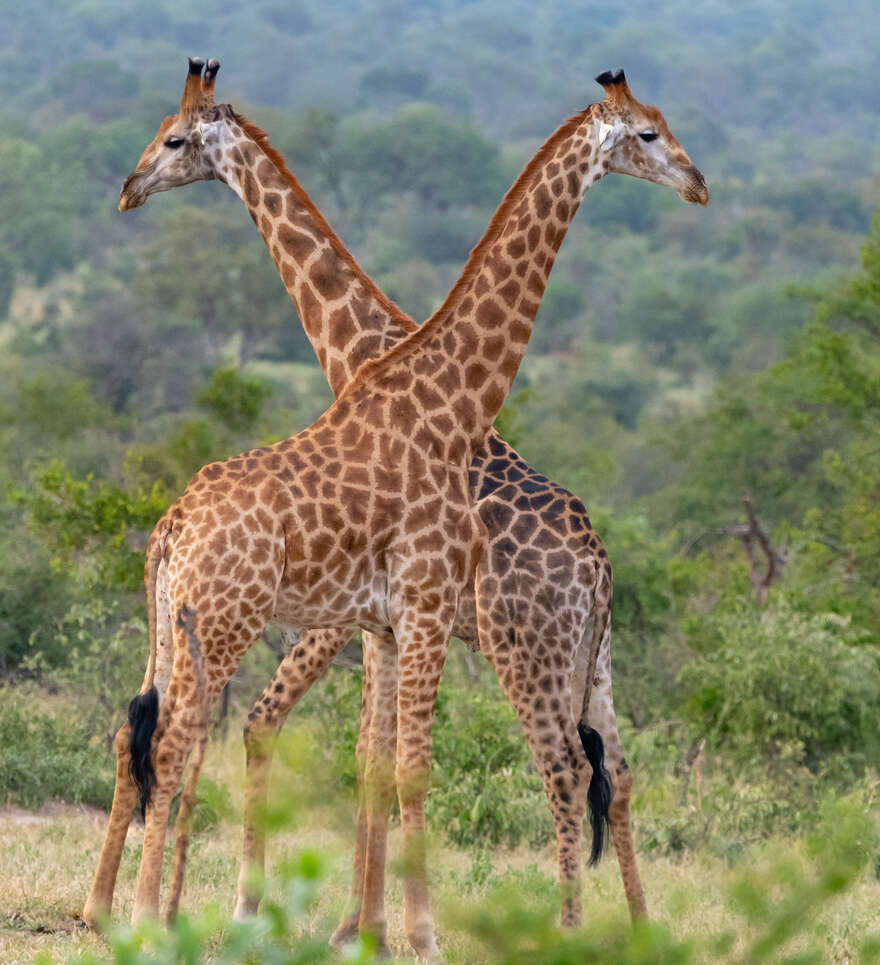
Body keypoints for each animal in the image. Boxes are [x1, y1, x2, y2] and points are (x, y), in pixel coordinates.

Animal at [87, 60, 708, 956]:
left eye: (172, 139)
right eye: (649, 132)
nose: (129, 189)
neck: (436, 391)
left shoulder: (389, 616)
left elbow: (382, 762)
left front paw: (373, 926)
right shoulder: (401, 610)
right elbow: (389, 761)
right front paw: (395, 930)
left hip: (546, 651)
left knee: (591, 771)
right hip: (285, 626)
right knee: (169, 738)